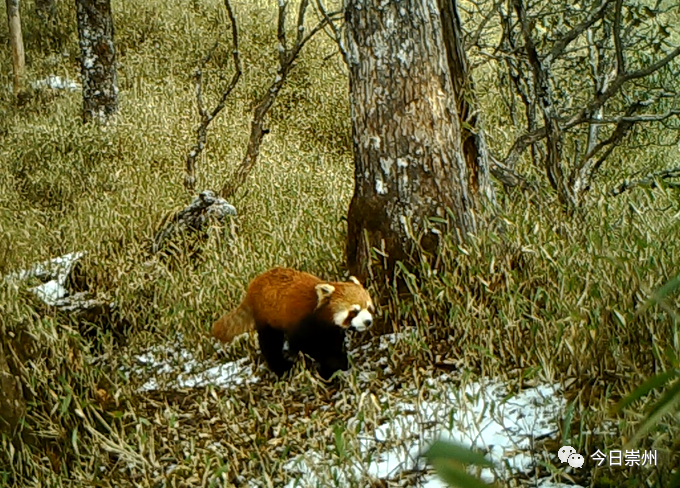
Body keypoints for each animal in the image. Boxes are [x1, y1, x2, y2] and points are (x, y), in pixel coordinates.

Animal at [211, 268, 374, 380]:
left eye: (368, 307)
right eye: (354, 311)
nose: (368, 321)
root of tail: (253, 285)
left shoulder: (331, 329)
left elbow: (332, 344)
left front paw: (340, 361)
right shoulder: (301, 323)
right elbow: (305, 346)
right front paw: (331, 366)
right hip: (267, 317)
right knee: (270, 344)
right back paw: (281, 367)